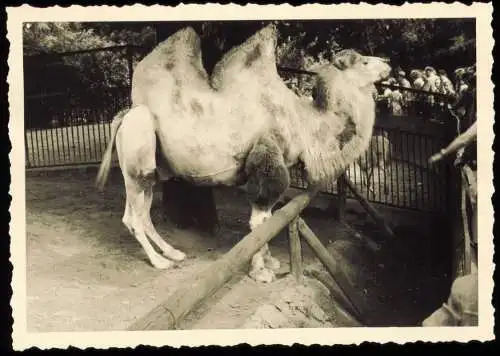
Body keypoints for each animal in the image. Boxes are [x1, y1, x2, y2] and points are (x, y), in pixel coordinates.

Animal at [94, 25, 390, 284]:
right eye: (364, 62)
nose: (387, 63)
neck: (304, 121)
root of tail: (123, 115)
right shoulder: (267, 157)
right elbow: (260, 219)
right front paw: (260, 272)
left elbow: (269, 219)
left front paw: (270, 262)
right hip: (138, 151)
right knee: (133, 216)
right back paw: (160, 262)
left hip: (152, 170)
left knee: (143, 213)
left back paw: (173, 253)